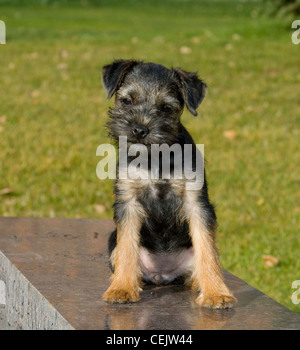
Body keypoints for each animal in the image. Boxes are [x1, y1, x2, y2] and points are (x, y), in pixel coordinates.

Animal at [102, 60, 236, 308]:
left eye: (166, 108)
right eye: (127, 100)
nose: (139, 129)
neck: (156, 158)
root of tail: (162, 275)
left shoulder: (197, 204)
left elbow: (207, 251)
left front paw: (216, 293)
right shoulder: (128, 203)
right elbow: (127, 248)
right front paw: (121, 288)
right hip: (112, 240)